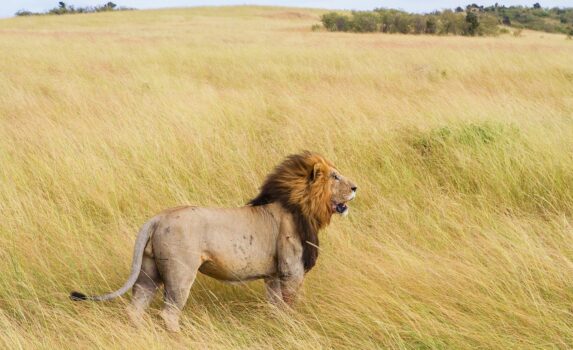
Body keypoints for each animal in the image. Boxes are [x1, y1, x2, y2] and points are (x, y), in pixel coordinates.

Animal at [69, 150, 356, 330]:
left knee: (135, 309)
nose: (355, 188)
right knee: (169, 313)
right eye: (335, 176)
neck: (302, 206)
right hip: (180, 273)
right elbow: (289, 306)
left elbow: (275, 307)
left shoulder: (273, 275)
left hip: (149, 272)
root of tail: (158, 218)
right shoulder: (291, 270)